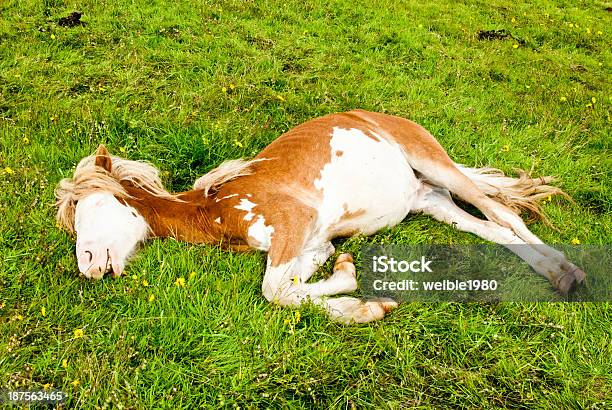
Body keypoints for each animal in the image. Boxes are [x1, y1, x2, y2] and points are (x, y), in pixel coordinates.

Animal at [55, 109, 584, 324]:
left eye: (92, 206)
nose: (87, 265)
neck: (220, 209)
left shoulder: (294, 224)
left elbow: (272, 291)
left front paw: (358, 297)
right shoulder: (311, 245)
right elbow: (291, 289)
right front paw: (359, 297)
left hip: (436, 163)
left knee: (505, 215)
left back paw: (568, 274)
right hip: (430, 200)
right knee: (490, 228)